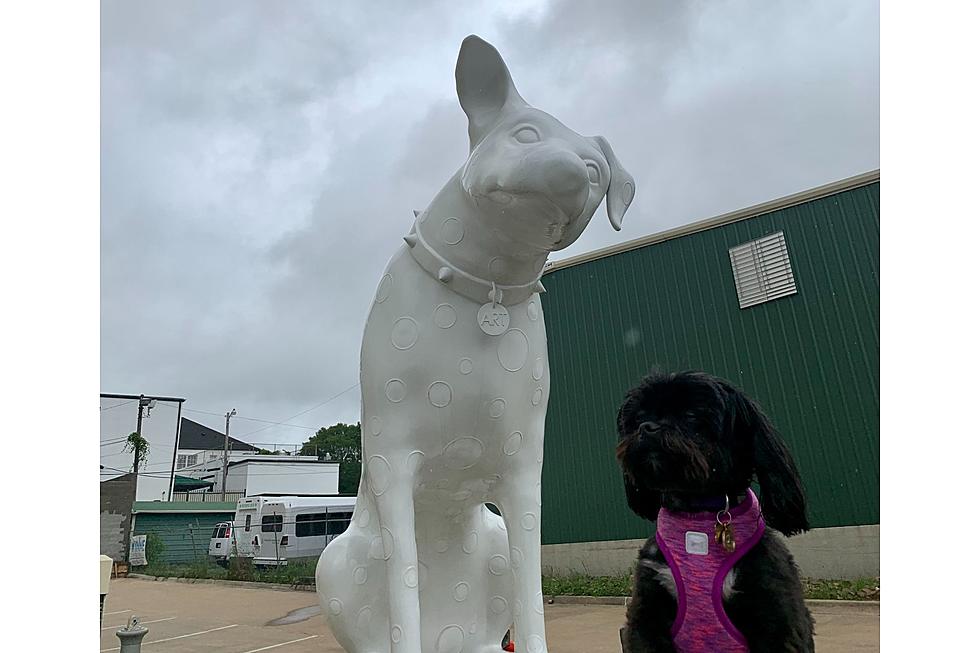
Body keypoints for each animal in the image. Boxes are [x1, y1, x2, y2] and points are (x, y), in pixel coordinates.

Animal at [616, 370, 816, 648]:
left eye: (690, 414)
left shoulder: (777, 616)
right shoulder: (647, 614)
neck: (697, 509)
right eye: (639, 418)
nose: (647, 427)